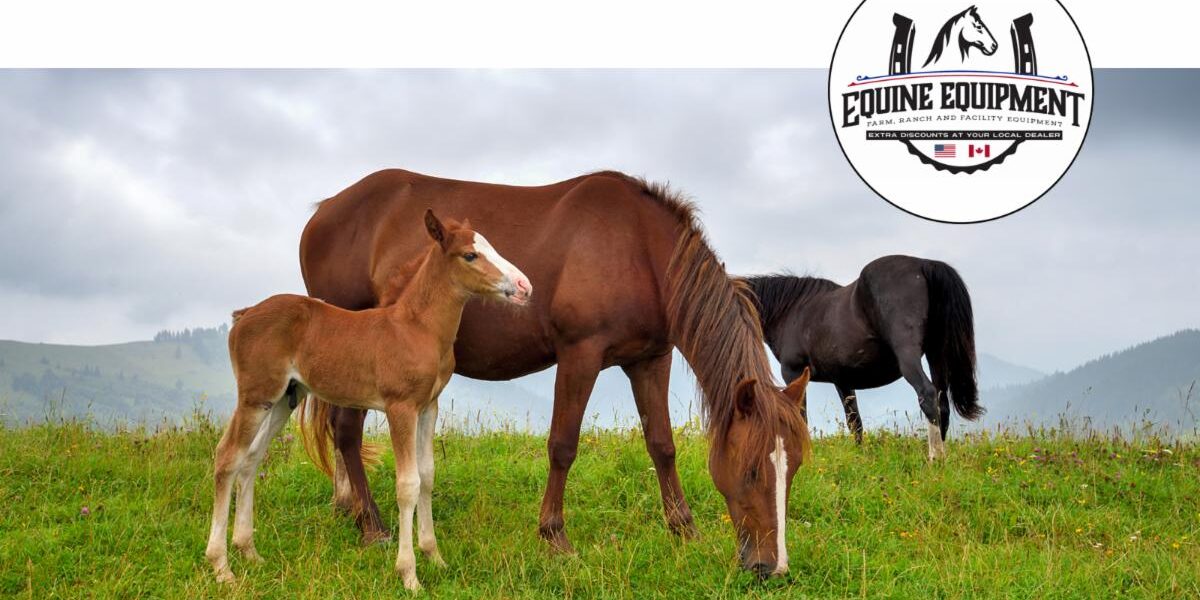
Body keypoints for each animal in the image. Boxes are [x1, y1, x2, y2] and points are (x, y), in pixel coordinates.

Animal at [205, 211, 532, 590]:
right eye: (470, 255)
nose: (525, 286)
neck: (417, 327)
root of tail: (244, 315)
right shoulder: (400, 408)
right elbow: (408, 484)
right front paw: (409, 574)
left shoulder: (429, 407)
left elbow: (428, 475)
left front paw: (435, 557)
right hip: (255, 396)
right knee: (228, 456)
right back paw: (222, 567)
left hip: (285, 398)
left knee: (251, 458)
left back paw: (249, 552)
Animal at [297, 169, 812, 577]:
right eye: (751, 470)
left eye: (794, 469)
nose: (771, 567)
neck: (639, 246)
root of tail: (324, 212)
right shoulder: (580, 354)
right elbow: (563, 446)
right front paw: (554, 535)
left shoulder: (650, 360)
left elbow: (661, 446)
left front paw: (683, 529)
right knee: (346, 431)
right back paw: (370, 524)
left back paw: (349, 509)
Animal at [743, 255, 982, 461]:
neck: (792, 310)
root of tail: (924, 264)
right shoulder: (843, 381)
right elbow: (854, 422)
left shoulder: (793, 373)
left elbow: (800, 417)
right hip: (937, 355)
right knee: (942, 403)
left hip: (909, 356)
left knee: (928, 394)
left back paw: (935, 456)